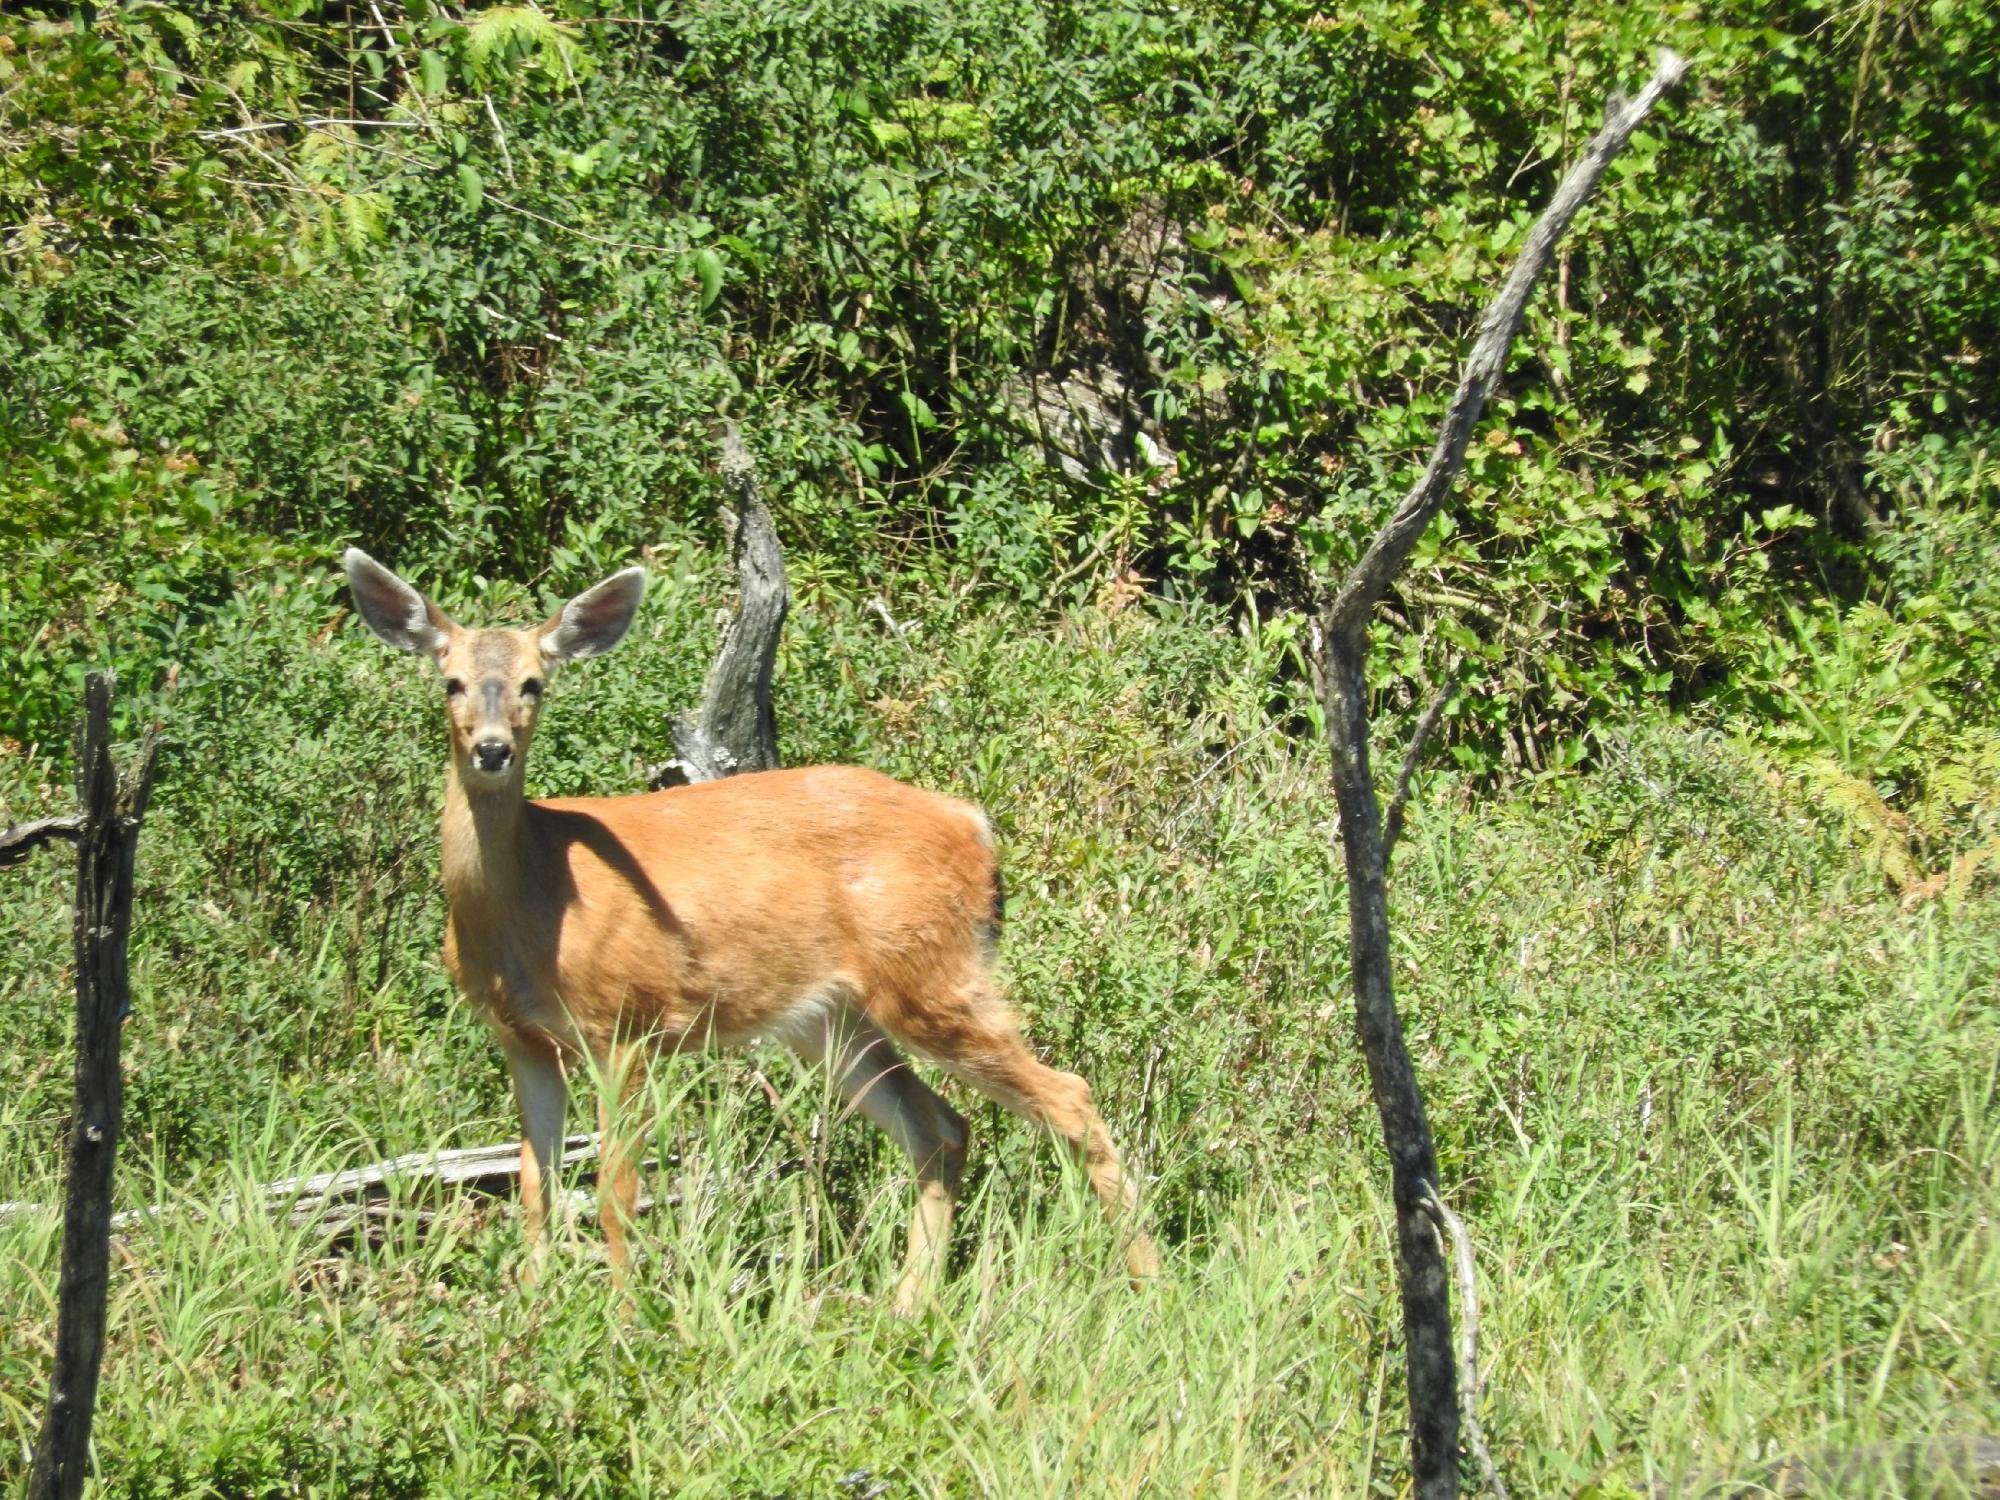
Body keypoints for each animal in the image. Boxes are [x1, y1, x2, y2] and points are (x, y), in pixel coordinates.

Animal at [344, 548, 1160, 1312]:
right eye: (450, 680)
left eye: (532, 684)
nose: (492, 749)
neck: (531, 903)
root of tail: (977, 824)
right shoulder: (523, 1041)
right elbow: (535, 1191)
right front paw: (534, 1307)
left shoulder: (624, 1022)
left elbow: (615, 1195)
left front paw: (620, 1320)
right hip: (832, 1019)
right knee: (941, 1129)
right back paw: (907, 1305)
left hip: (933, 973)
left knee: (1070, 1096)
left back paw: (1149, 1287)